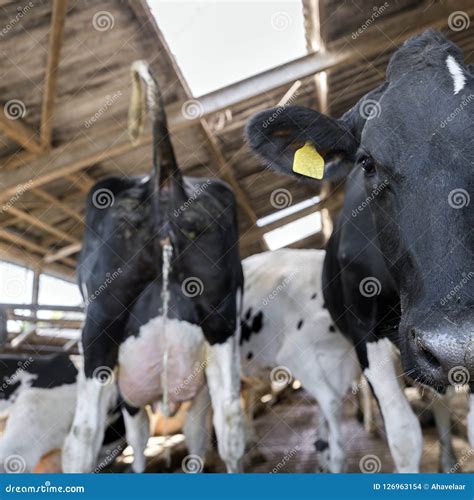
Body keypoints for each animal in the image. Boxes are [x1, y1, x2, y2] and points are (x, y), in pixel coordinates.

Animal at [62, 62, 244, 472]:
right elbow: (195, 433)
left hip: (98, 329)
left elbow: (138, 437)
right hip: (220, 319)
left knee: (84, 436)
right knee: (228, 420)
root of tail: (162, 182)